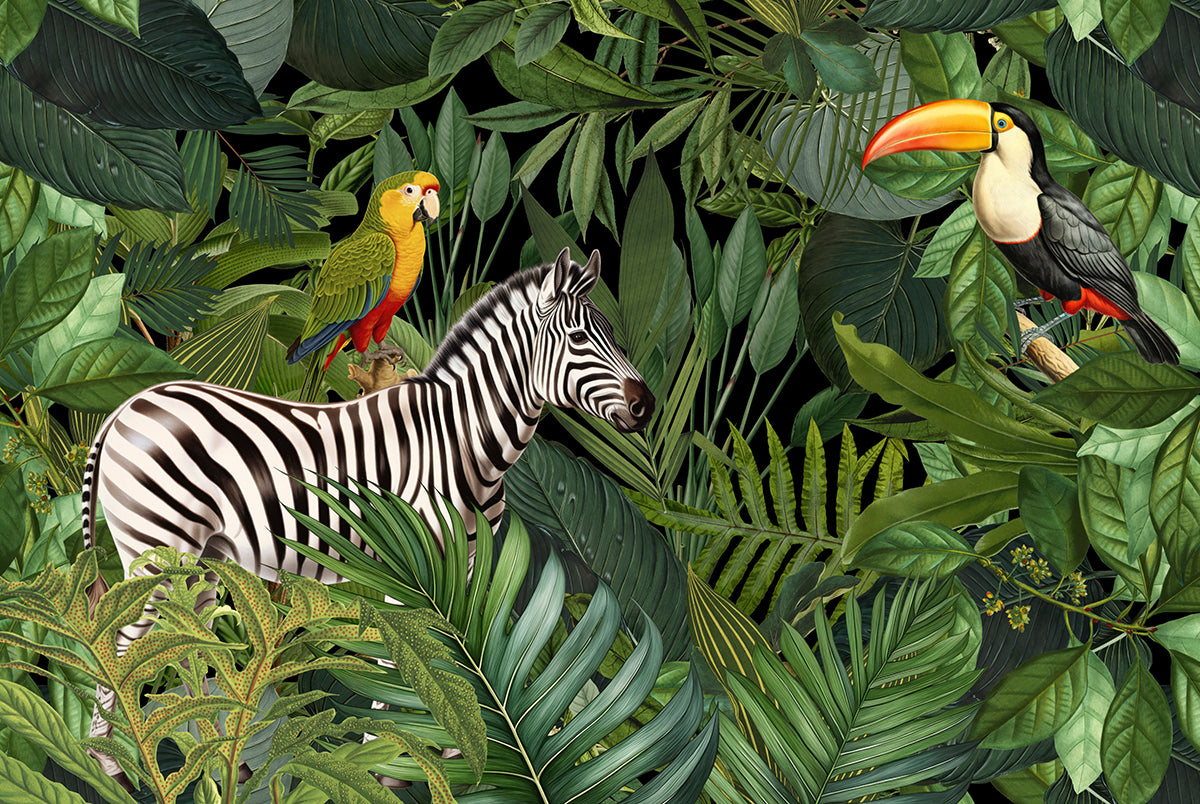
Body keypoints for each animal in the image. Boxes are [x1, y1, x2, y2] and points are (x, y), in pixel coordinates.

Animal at [80, 248, 654, 782]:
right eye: (578, 338)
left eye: (612, 335)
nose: (646, 405)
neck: (462, 440)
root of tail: (123, 407)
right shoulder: (412, 573)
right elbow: (407, 663)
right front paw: (391, 765)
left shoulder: (468, 569)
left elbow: (459, 658)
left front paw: (467, 762)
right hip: (159, 550)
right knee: (125, 645)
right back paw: (109, 768)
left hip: (200, 560)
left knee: (187, 643)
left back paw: (221, 760)